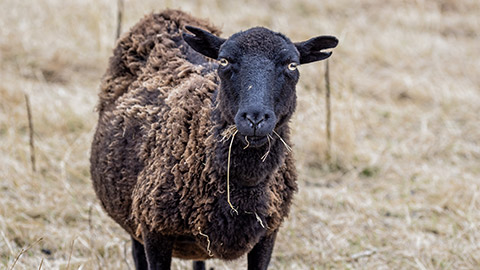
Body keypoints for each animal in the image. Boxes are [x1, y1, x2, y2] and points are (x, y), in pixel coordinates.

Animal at [90, 8, 338, 270]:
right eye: (224, 61)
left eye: (292, 65)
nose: (255, 118)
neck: (243, 188)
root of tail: (167, 13)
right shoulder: (154, 231)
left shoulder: (268, 234)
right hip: (134, 224)